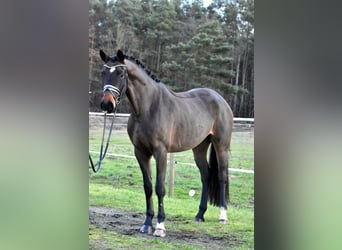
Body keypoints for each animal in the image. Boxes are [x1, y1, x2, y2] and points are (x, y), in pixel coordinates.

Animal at [98, 49, 232, 237]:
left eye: (121, 74)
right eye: (103, 73)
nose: (106, 104)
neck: (148, 108)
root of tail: (220, 99)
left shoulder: (160, 152)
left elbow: (159, 187)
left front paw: (160, 226)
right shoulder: (140, 152)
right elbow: (148, 187)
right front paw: (147, 224)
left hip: (221, 147)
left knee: (222, 176)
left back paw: (223, 216)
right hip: (199, 147)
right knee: (205, 176)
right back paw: (199, 214)